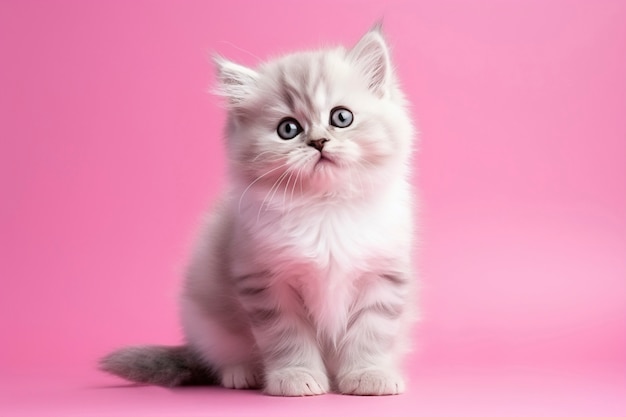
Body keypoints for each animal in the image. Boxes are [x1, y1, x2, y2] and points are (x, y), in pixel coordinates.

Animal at [100, 26, 416, 396]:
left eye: (341, 117)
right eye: (288, 129)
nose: (318, 142)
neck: (325, 207)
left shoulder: (382, 278)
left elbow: (370, 335)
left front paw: (368, 374)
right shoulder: (267, 283)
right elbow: (288, 338)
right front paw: (295, 377)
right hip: (205, 321)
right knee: (221, 357)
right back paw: (243, 373)